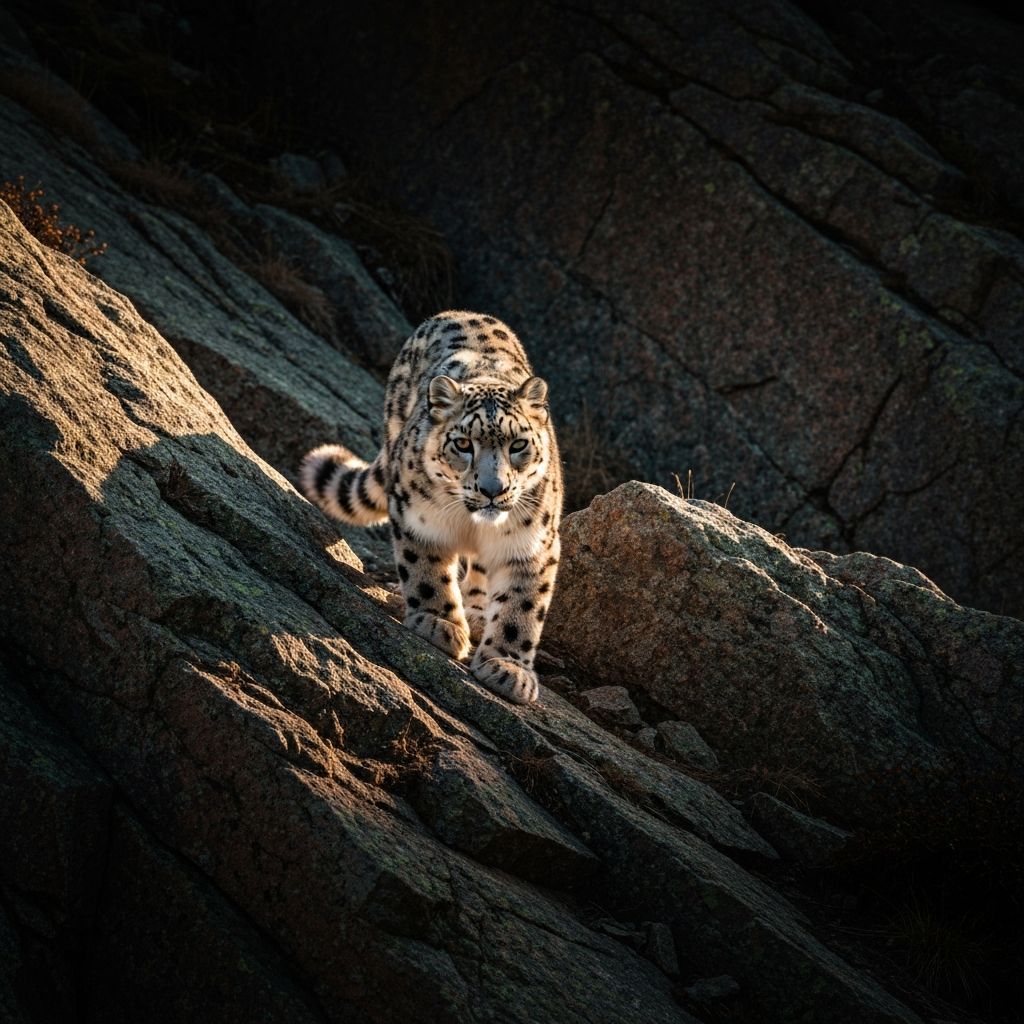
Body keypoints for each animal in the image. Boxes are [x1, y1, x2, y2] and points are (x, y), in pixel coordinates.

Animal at [299, 310, 561, 704]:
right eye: (463, 444)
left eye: (518, 444)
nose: (492, 490)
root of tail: (461, 312)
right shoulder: (418, 518)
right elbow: (426, 571)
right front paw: (440, 624)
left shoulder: (532, 544)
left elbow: (522, 606)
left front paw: (507, 667)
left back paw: (478, 612)